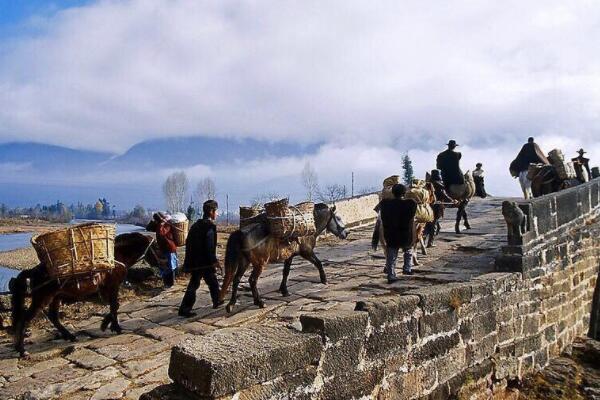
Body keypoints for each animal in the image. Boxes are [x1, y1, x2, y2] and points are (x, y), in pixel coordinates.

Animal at [11, 231, 162, 356]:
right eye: (155, 246)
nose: (160, 263)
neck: (116, 257)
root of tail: (32, 272)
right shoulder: (113, 286)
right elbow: (114, 306)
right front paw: (114, 327)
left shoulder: (107, 288)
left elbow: (115, 306)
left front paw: (106, 324)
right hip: (42, 298)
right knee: (24, 319)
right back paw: (22, 350)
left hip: (55, 298)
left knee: (53, 317)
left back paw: (69, 336)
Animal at [221, 203, 350, 312]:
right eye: (338, 218)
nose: (346, 233)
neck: (310, 226)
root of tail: (241, 233)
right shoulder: (307, 252)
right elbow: (318, 263)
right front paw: (324, 280)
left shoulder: (290, 256)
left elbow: (286, 272)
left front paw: (284, 290)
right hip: (259, 263)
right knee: (252, 280)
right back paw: (259, 302)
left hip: (245, 262)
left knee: (236, 279)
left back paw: (231, 304)